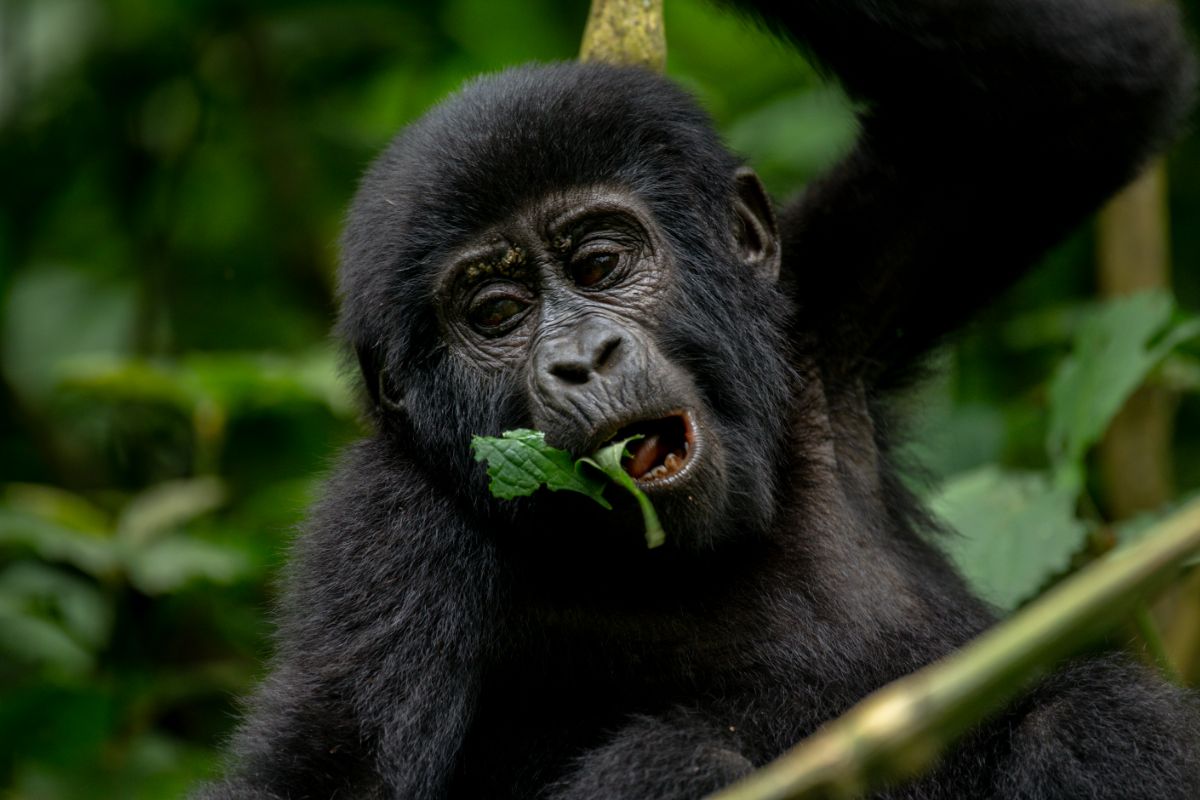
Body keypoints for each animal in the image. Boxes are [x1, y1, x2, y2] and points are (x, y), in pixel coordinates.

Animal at [201, 1, 1195, 800]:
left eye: (600, 262)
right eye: (497, 314)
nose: (582, 359)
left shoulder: (822, 307)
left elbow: (1060, 101)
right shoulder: (382, 531)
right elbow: (333, 773)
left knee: (1086, 714)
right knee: (680, 760)